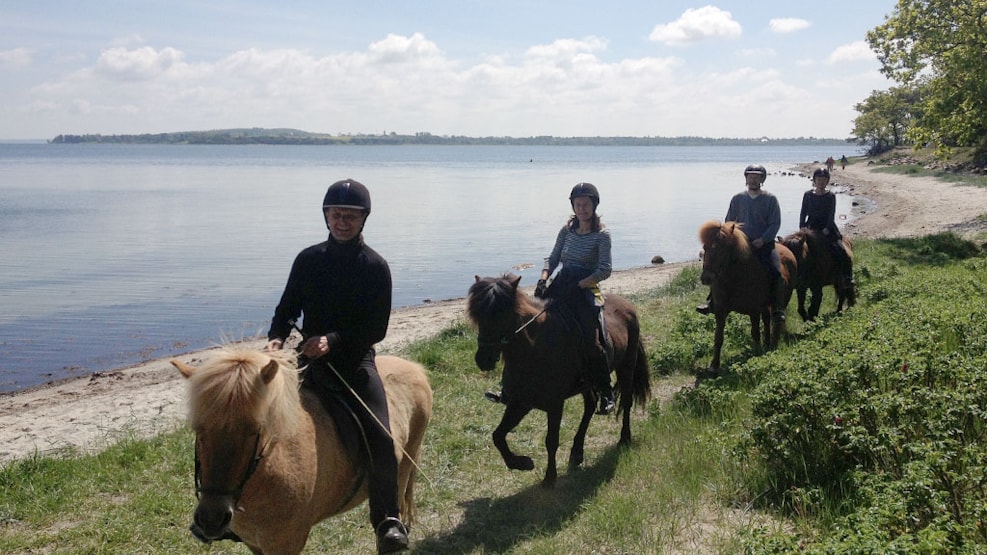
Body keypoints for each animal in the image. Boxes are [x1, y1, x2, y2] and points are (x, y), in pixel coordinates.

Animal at [171, 348, 432, 555]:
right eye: (198, 428)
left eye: (254, 430)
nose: (211, 519)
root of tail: (416, 368)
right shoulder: (254, 543)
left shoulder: (285, 545)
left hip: (403, 467)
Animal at [466, 276, 652, 488]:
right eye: (478, 316)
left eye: (502, 315)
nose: (483, 359)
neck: (534, 349)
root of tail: (627, 306)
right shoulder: (520, 403)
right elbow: (497, 436)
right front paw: (522, 463)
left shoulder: (555, 404)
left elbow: (551, 440)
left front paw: (549, 477)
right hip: (588, 383)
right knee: (590, 407)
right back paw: (577, 452)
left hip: (626, 367)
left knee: (626, 402)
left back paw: (624, 438)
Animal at [700, 222, 800, 374]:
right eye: (705, 247)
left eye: (721, 248)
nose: (706, 278)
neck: (735, 278)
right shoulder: (720, 311)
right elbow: (718, 337)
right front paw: (714, 365)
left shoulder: (754, 311)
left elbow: (755, 333)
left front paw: (756, 355)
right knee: (767, 320)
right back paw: (767, 343)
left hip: (780, 301)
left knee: (776, 321)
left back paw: (772, 346)